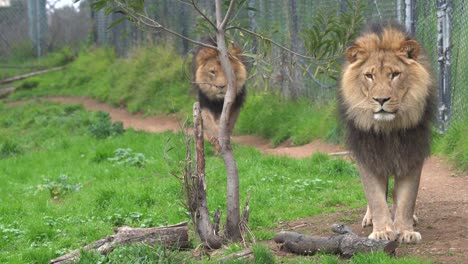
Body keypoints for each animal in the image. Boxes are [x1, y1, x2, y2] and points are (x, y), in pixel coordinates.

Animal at [338, 22, 436, 243]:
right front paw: (382, 231)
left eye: (395, 74)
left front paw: (406, 231)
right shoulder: (368, 157)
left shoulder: (412, 155)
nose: (381, 100)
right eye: (369, 75)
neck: (388, 129)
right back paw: (369, 219)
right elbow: (375, 197)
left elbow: (407, 198)